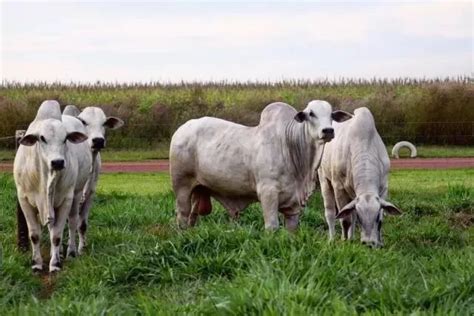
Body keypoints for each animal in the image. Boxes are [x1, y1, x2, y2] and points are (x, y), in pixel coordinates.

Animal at [13, 100, 88, 272]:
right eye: (42, 138)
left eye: (66, 138)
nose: (58, 162)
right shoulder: (24, 200)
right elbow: (34, 235)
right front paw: (36, 263)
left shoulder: (66, 200)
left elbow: (56, 236)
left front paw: (54, 264)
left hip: (77, 194)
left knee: (72, 222)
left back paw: (71, 252)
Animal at [64, 106, 124, 254]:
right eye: (84, 122)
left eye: (104, 123)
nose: (98, 140)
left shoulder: (90, 194)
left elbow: (82, 225)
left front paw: (82, 249)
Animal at [169, 100, 352, 231]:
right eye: (311, 114)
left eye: (331, 115)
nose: (328, 131)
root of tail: (181, 129)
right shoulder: (268, 193)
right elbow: (272, 226)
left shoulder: (293, 205)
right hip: (182, 185)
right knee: (182, 215)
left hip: (198, 189)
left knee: (192, 216)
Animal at [316, 107, 402, 248]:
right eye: (362, 219)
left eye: (376, 217)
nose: (369, 243)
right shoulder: (339, 188)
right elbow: (345, 220)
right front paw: (344, 241)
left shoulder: (383, 188)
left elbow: (376, 219)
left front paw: (380, 242)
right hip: (324, 180)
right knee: (330, 213)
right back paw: (332, 239)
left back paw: (351, 238)